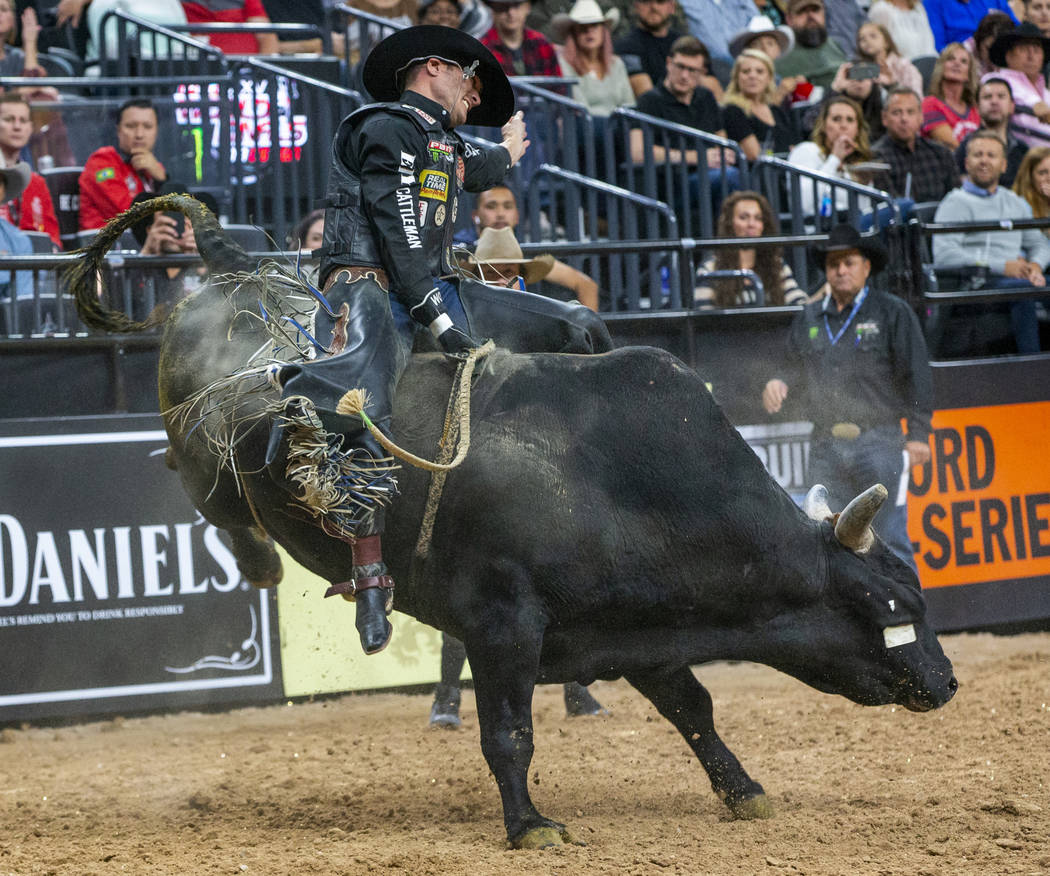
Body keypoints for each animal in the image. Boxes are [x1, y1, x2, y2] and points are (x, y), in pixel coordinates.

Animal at [69, 196, 957, 848]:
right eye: (896, 606)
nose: (947, 683)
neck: (617, 479)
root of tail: (235, 269)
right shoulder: (504, 624)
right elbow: (508, 733)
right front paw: (529, 824)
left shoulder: (639, 625)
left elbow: (693, 706)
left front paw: (744, 791)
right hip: (201, 450)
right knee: (205, 486)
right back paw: (263, 562)